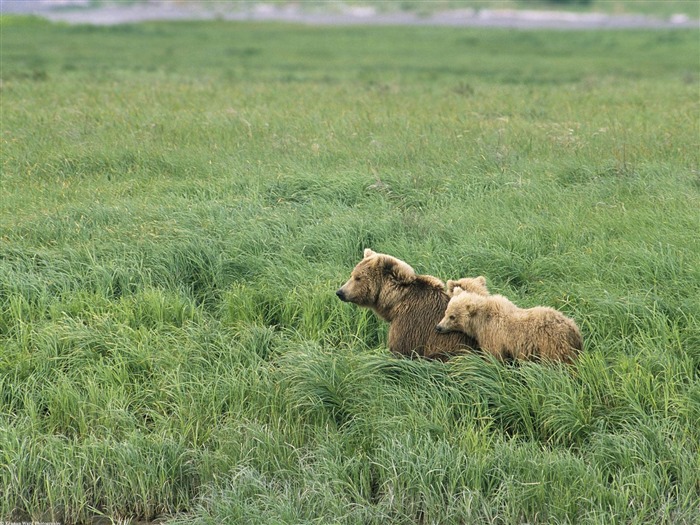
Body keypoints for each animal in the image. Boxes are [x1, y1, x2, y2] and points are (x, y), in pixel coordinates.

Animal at [336, 248, 478, 358]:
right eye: (352, 275)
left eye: (358, 278)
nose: (340, 292)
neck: (395, 302)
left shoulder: (411, 323)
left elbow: (402, 348)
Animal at [438, 284, 580, 362]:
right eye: (446, 312)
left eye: (452, 317)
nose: (438, 327)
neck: (479, 322)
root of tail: (573, 329)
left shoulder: (493, 336)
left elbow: (494, 356)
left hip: (552, 346)